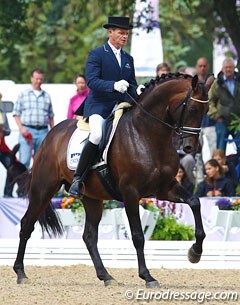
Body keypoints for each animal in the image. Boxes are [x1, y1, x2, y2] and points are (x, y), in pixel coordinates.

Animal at [13, 72, 214, 286]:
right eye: (192, 108)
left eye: (206, 110)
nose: (190, 148)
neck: (148, 134)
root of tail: (51, 135)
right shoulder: (130, 192)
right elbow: (138, 236)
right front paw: (147, 276)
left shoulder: (165, 188)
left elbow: (195, 202)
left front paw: (195, 253)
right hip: (43, 188)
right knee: (26, 225)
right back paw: (20, 273)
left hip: (91, 198)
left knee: (89, 236)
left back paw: (106, 276)